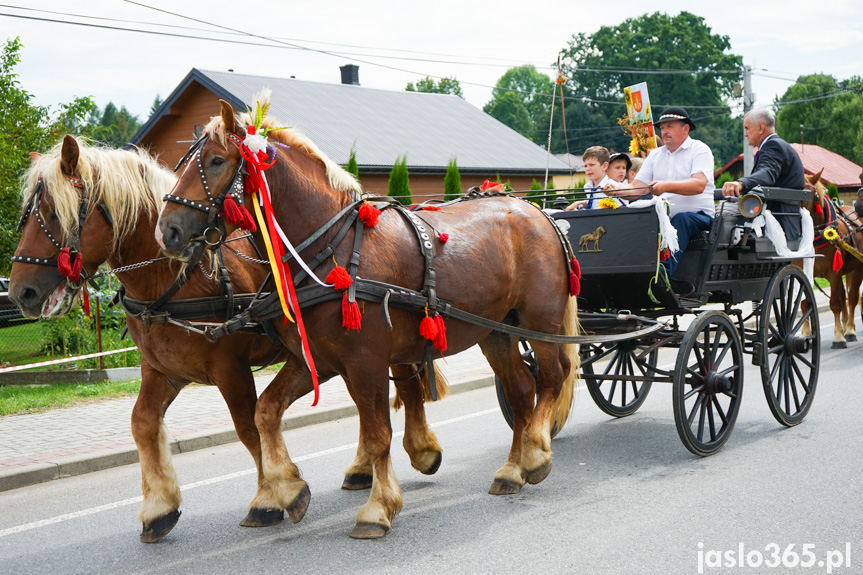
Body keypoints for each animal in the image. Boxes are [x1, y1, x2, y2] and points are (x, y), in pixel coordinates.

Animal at [6, 135, 448, 544]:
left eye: (53, 214)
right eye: (26, 216)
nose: (20, 293)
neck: (175, 277)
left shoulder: (229, 368)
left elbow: (247, 428)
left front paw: (270, 499)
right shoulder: (162, 370)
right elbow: (143, 424)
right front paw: (159, 507)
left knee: (405, 385)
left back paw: (420, 449)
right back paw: (363, 468)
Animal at [157, 100, 580, 540]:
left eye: (216, 161)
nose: (167, 230)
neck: (330, 249)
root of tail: (538, 213)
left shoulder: (366, 361)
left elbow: (378, 434)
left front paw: (377, 508)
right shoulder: (316, 360)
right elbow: (265, 412)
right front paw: (289, 489)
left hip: (539, 322)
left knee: (554, 376)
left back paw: (536, 453)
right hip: (497, 331)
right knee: (520, 390)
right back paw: (513, 470)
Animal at [804, 169, 863, 344]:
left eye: (808, 194)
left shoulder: (834, 273)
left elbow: (836, 303)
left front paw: (838, 336)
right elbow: (803, 304)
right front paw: (805, 334)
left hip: (856, 270)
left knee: (852, 297)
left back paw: (849, 329)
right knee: (845, 295)